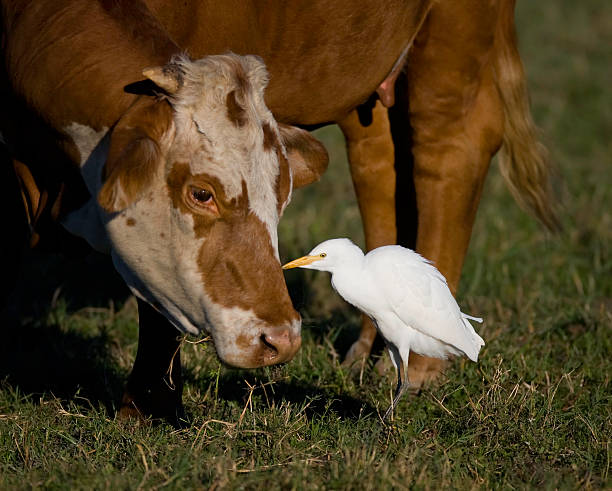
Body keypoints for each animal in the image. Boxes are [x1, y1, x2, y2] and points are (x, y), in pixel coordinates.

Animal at [0, 0, 556, 422]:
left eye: (281, 197)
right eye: (201, 193)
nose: (282, 340)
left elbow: (155, 311)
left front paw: (149, 409)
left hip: (454, 38)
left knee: (450, 148)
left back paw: (416, 364)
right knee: (379, 163)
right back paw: (369, 348)